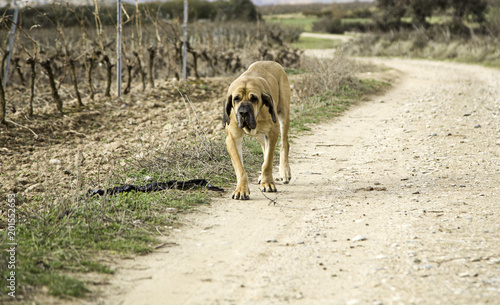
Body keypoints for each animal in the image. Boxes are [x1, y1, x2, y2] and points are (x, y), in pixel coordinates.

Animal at [224, 61, 292, 200]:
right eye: (236, 99)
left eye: (254, 98)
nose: (244, 112)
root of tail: (271, 62)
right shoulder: (232, 139)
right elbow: (239, 167)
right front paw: (241, 189)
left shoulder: (272, 132)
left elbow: (268, 162)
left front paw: (268, 183)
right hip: (259, 134)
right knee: (265, 147)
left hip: (283, 113)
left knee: (284, 144)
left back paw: (284, 171)